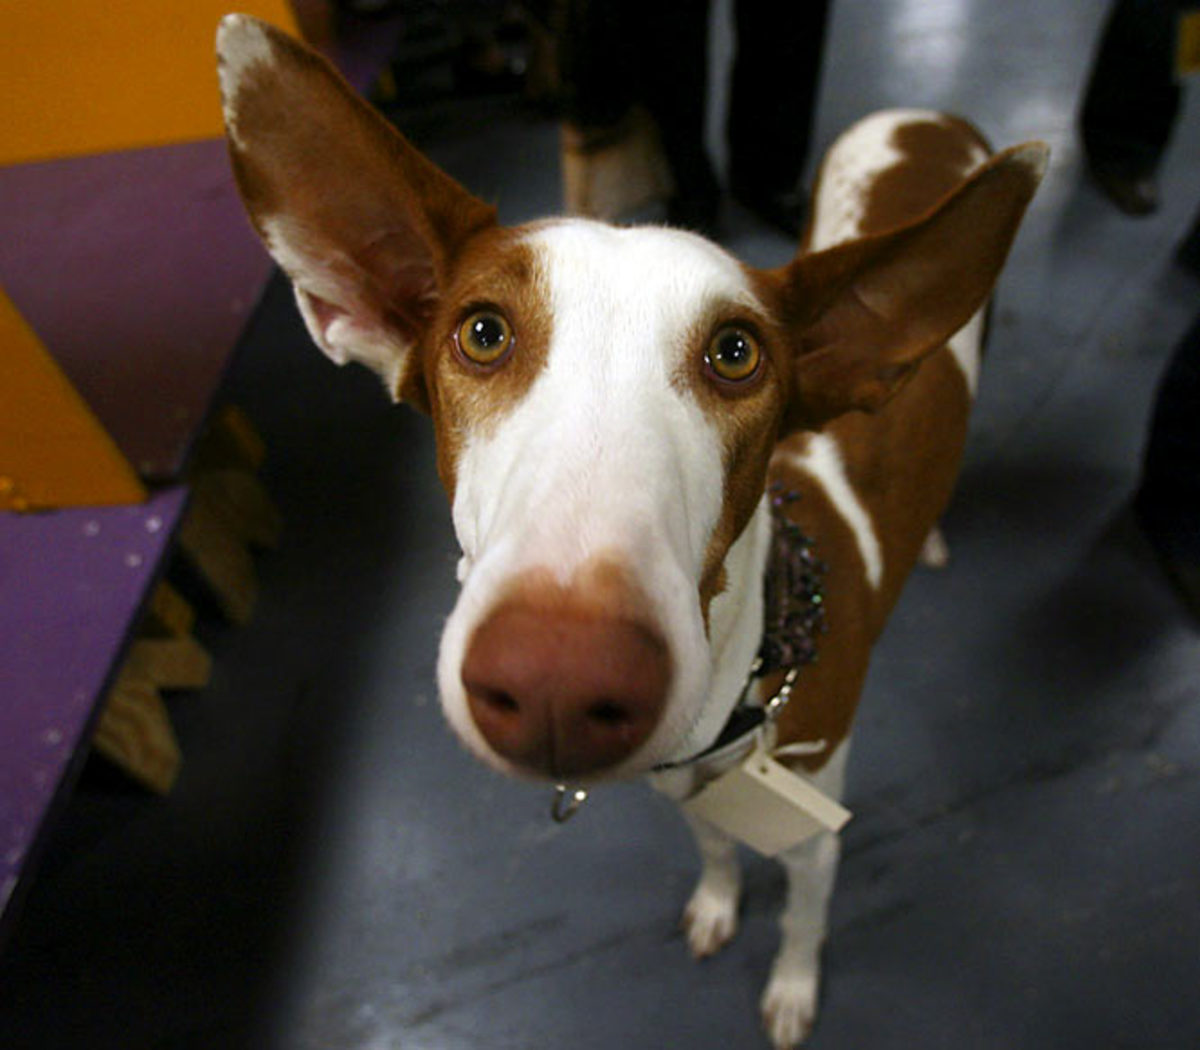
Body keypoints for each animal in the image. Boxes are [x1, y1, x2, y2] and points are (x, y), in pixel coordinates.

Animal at [220, 14, 1046, 1041]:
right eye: (482, 332)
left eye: (736, 353)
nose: (558, 681)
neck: (751, 675)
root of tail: (922, 114)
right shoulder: (688, 785)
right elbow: (718, 852)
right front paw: (720, 905)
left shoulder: (817, 836)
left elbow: (804, 922)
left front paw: (791, 992)